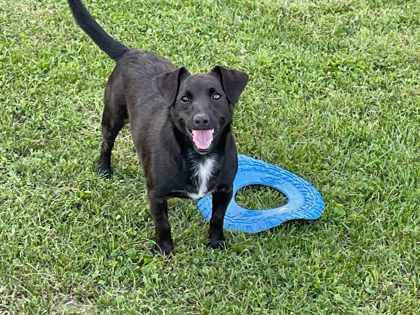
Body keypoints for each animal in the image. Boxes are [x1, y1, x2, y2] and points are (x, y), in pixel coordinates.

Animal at [67, 0, 248, 256]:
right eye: (184, 99)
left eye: (216, 96)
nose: (201, 120)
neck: (199, 157)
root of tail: (129, 52)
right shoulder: (156, 195)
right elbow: (163, 224)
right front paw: (165, 249)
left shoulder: (225, 190)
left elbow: (217, 218)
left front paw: (215, 242)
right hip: (112, 116)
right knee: (106, 143)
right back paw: (104, 168)